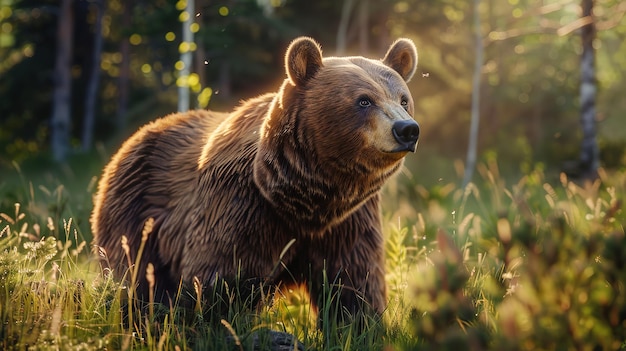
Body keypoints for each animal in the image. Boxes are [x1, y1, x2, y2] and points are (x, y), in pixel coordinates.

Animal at [90, 37, 416, 320]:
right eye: (364, 101)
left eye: (403, 99)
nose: (407, 129)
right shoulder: (241, 206)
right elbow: (223, 280)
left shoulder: (348, 223)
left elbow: (355, 286)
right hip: (134, 207)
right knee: (134, 273)